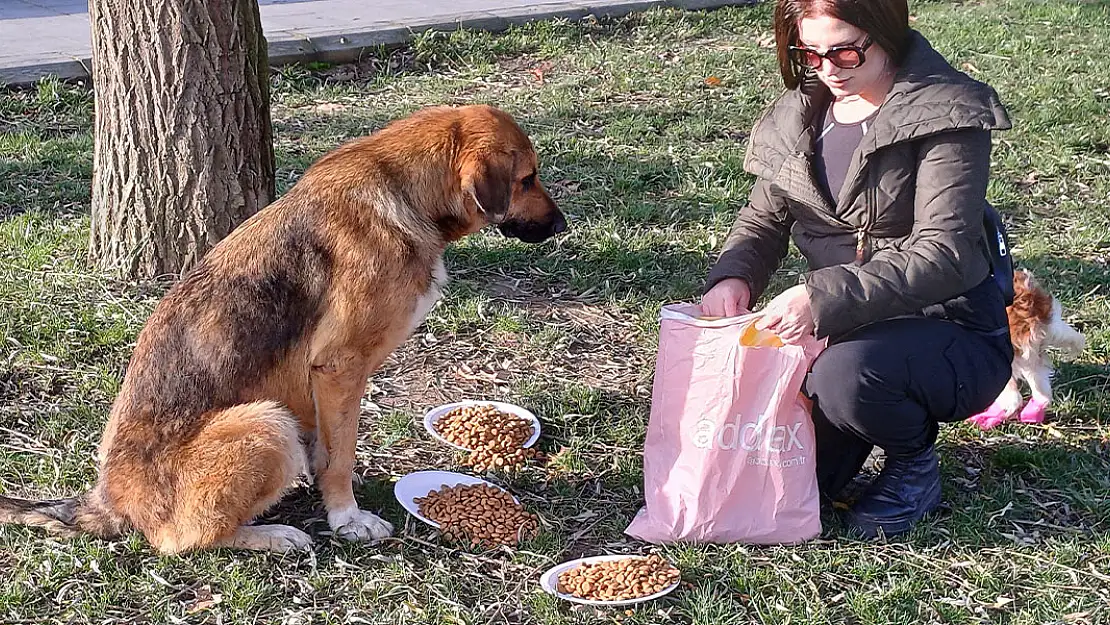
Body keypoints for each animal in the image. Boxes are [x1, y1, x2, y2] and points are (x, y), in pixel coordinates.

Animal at [0, 104, 568, 555]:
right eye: (528, 178)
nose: (563, 226)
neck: (404, 193)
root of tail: (109, 499)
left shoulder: (320, 387)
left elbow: (328, 449)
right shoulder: (339, 367)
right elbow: (340, 456)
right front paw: (346, 518)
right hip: (267, 424)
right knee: (181, 540)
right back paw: (273, 536)